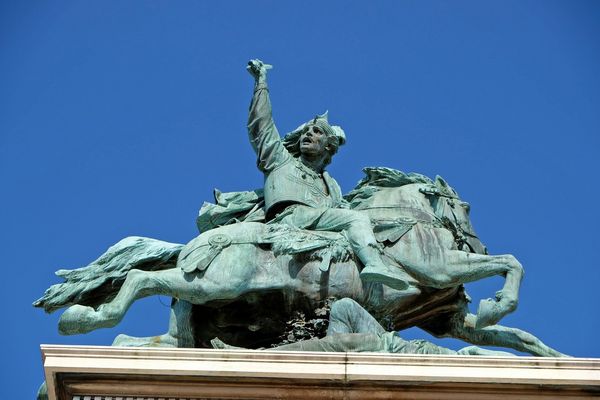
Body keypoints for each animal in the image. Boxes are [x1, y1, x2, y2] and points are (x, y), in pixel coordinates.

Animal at [32, 168, 564, 356]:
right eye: (467, 206)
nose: (475, 243)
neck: (404, 223)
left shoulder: (448, 320)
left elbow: (517, 336)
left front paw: (552, 359)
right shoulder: (440, 268)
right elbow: (512, 263)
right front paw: (498, 303)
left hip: (209, 303)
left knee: (158, 327)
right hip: (215, 284)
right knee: (143, 279)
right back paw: (84, 318)